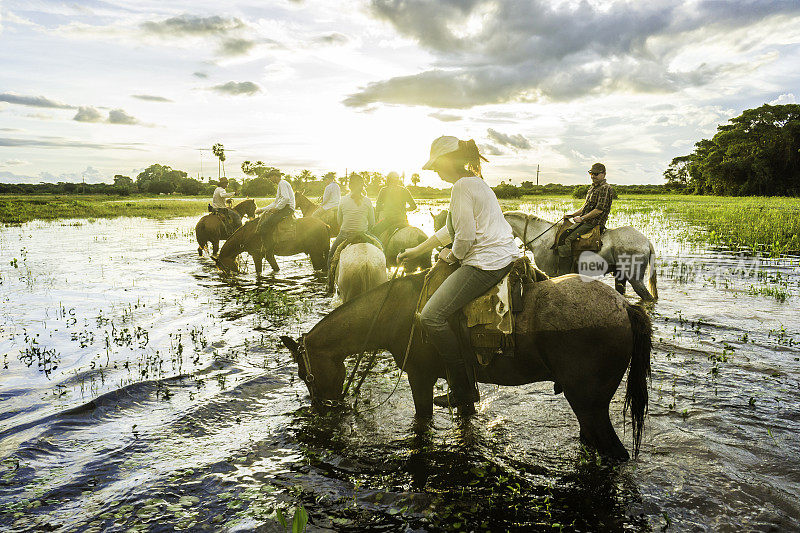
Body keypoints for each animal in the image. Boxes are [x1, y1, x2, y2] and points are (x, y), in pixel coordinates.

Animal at [282, 270, 648, 462]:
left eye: (305, 375)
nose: (322, 409)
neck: (394, 314)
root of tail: (624, 307)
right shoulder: (459, 382)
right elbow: (466, 410)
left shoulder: (419, 377)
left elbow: (422, 420)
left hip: (589, 403)